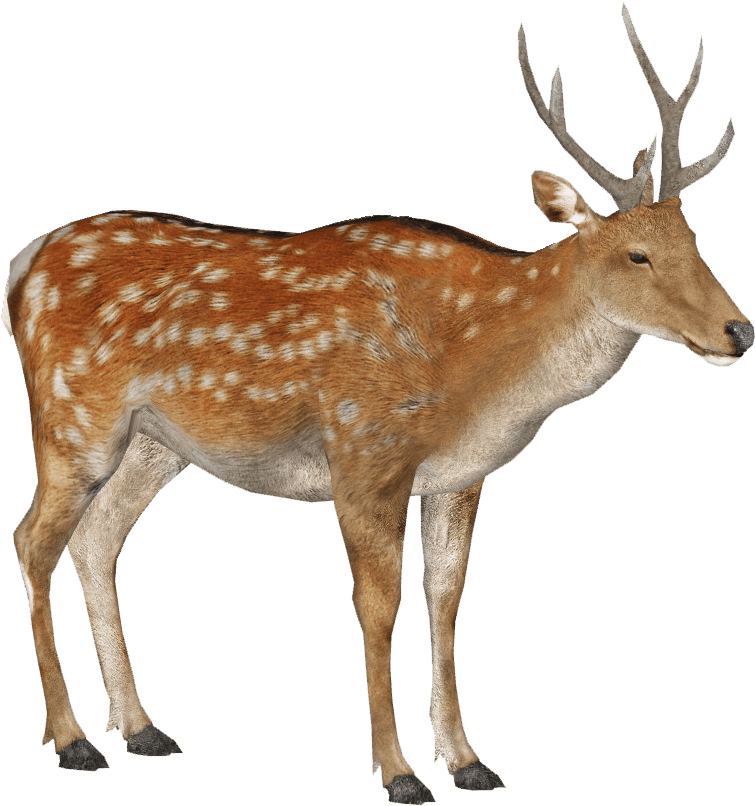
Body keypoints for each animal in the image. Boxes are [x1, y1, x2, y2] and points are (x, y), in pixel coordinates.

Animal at [3, 3, 752, 803]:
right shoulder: (364, 451)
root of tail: (22, 268)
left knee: (97, 537)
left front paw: (470, 761)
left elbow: (444, 602)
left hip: (153, 443)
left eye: (695, 241)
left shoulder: (458, 477)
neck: (476, 372)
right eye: (636, 255)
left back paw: (143, 728)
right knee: (33, 538)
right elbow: (378, 609)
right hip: (72, 415)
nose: (738, 330)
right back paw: (74, 741)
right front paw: (399, 774)